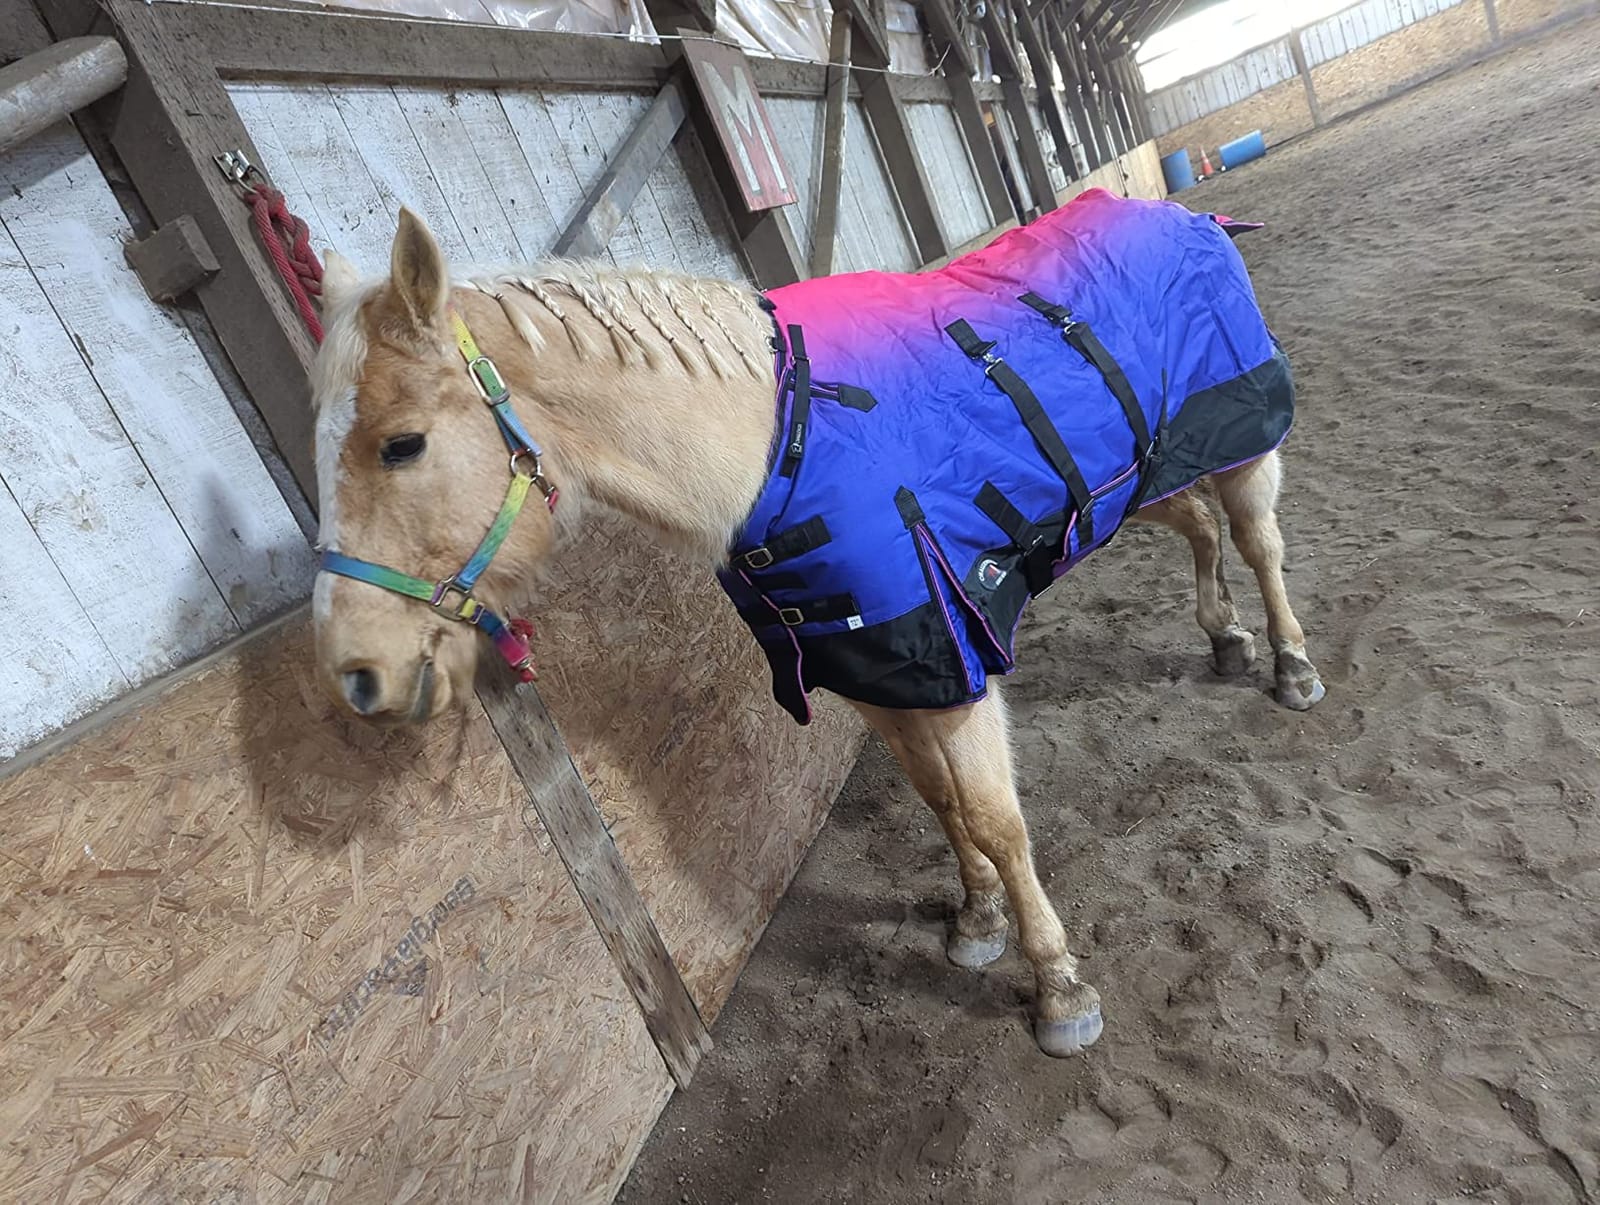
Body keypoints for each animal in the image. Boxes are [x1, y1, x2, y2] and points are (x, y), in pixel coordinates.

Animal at [309, 196, 1325, 1058]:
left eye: (402, 444)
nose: (356, 675)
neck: (782, 449)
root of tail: (1183, 212)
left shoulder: (950, 658)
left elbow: (996, 820)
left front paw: (1059, 987)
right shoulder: (873, 670)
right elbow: (940, 801)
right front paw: (977, 922)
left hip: (1240, 435)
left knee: (1257, 541)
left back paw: (1289, 665)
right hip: (1141, 475)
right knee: (1199, 527)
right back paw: (1225, 639)